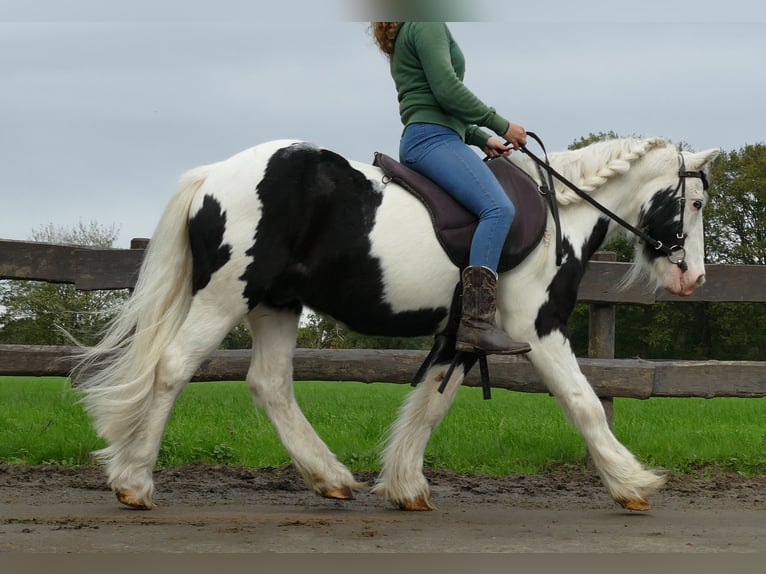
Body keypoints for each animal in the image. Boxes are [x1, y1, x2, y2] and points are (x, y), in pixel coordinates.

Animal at [75, 136, 724, 512]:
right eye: (694, 203)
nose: (693, 279)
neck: (560, 213)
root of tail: (211, 175)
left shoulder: (464, 335)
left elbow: (430, 405)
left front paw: (406, 485)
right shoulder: (538, 328)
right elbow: (585, 403)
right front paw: (634, 483)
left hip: (275, 304)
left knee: (270, 384)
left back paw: (330, 477)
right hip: (225, 296)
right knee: (173, 368)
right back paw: (134, 483)